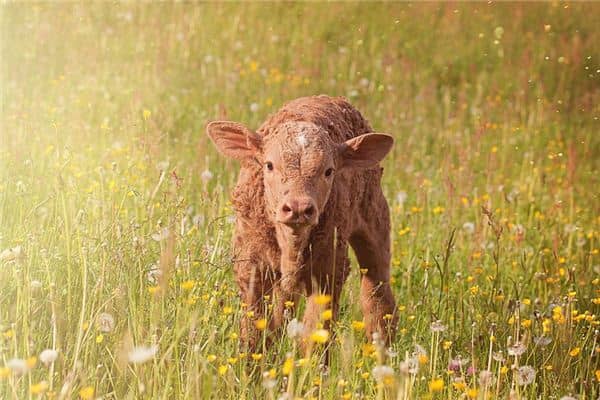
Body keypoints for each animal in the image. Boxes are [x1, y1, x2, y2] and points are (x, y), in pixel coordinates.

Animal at [207, 95, 398, 348]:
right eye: (269, 165)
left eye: (329, 171)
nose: (298, 208)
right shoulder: (251, 266)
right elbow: (254, 329)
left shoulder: (329, 270)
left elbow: (315, 334)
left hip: (375, 219)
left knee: (377, 294)